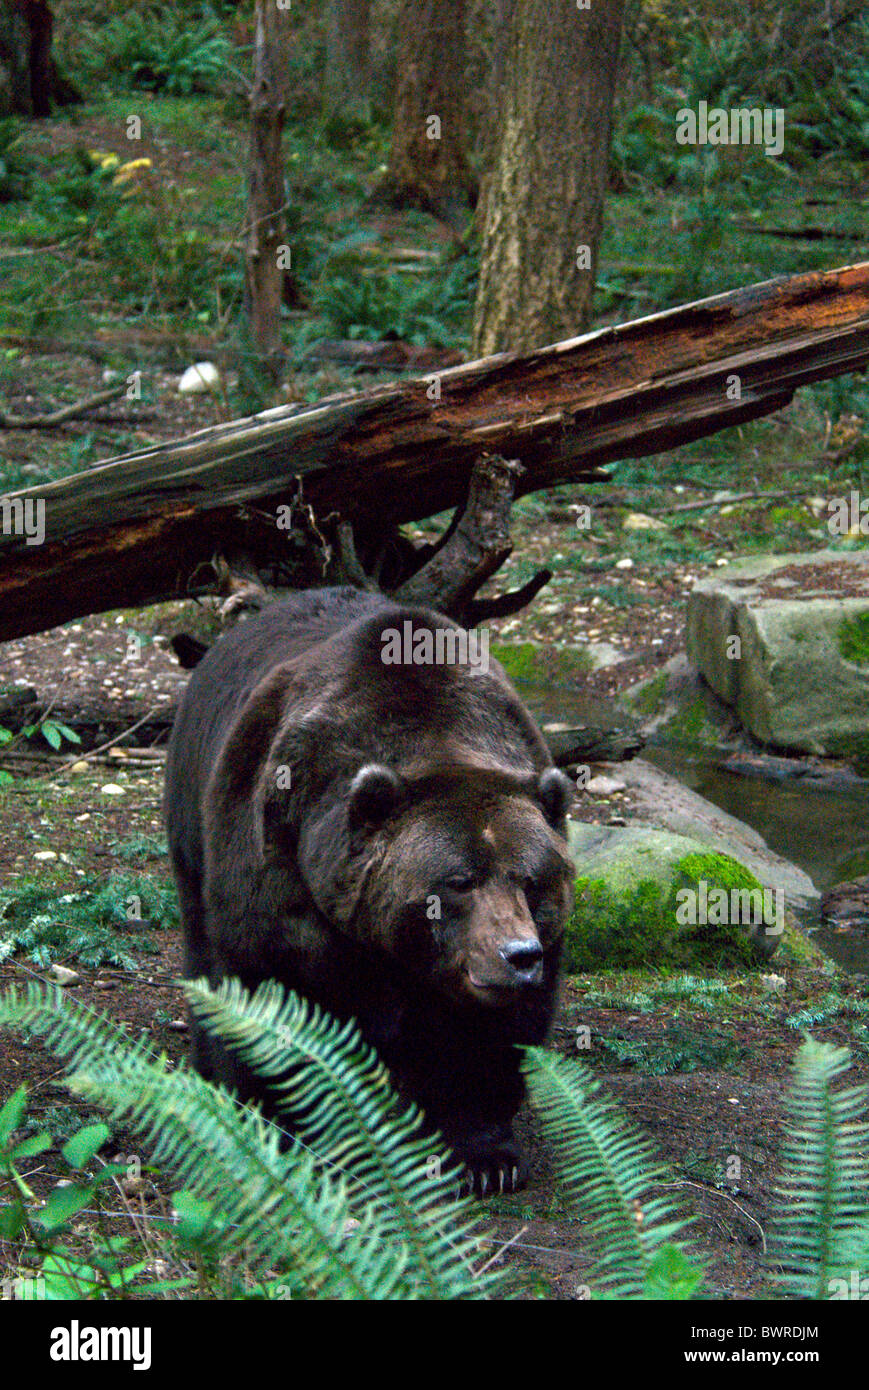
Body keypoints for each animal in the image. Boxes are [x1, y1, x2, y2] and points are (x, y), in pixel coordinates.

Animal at [165, 586, 572, 1195]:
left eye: (530, 879)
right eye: (459, 882)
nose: (518, 955)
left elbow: (486, 1038)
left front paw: (487, 1158)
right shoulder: (278, 846)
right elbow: (266, 986)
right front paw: (276, 1124)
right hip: (195, 806)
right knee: (201, 938)